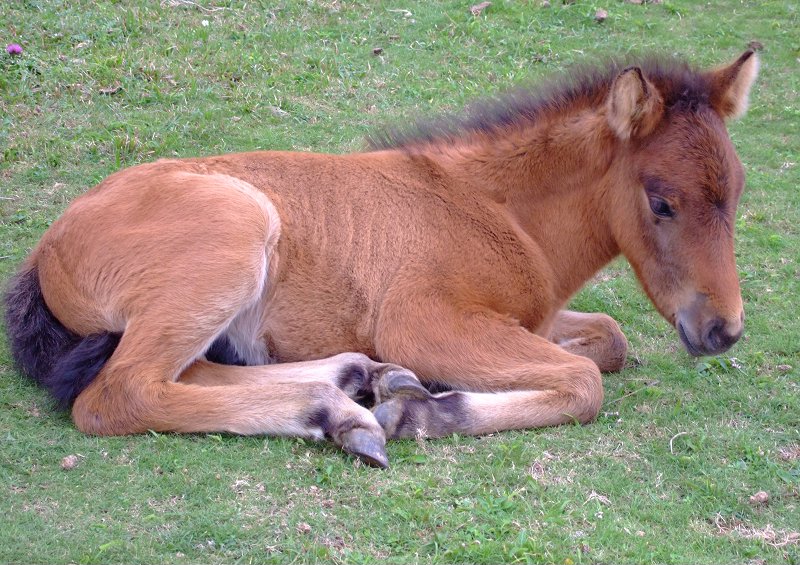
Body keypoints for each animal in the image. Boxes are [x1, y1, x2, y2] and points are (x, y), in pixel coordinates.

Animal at [4, 49, 756, 468]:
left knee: (193, 371)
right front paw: (425, 415)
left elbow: (609, 337)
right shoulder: (423, 321)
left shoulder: (530, 319)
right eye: (661, 201)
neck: (494, 206)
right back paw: (342, 410)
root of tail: (47, 248)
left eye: (739, 187)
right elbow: (583, 379)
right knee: (121, 392)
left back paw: (352, 383)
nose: (721, 330)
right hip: (234, 237)